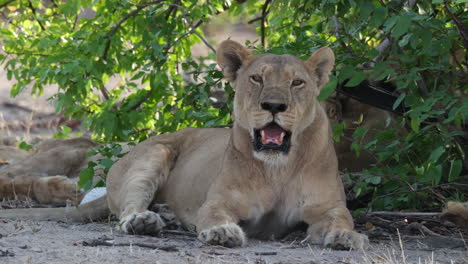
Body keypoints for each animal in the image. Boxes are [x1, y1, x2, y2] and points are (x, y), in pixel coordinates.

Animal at [0, 39, 368, 250]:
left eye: (297, 83)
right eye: (256, 78)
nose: (274, 106)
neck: (278, 167)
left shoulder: (328, 208)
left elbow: (342, 219)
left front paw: (348, 238)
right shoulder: (218, 202)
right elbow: (214, 215)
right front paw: (222, 233)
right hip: (154, 153)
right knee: (126, 210)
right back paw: (146, 221)